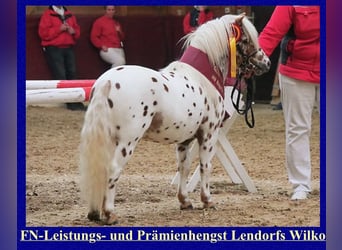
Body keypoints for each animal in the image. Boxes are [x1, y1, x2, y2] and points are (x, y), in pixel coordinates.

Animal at [79, 13, 268, 225]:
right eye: (247, 40)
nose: (266, 63)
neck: (201, 78)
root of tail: (108, 82)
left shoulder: (184, 140)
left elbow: (183, 168)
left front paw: (185, 201)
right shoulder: (209, 134)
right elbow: (205, 166)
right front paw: (207, 200)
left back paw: (95, 212)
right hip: (127, 141)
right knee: (113, 169)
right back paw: (110, 213)